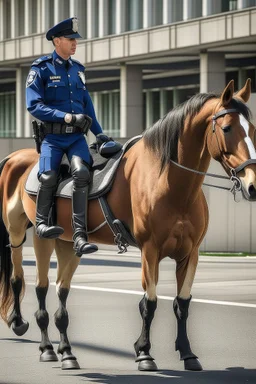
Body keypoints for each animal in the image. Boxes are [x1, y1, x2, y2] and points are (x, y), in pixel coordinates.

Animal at [0, 79, 256, 372]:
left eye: (252, 129)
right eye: (226, 128)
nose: (252, 185)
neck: (169, 181)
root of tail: (16, 157)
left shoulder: (190, 254)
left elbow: (182, 304)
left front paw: (188, 353)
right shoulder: (150, 250)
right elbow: (150, 303)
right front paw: (144, 353)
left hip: (67, 243)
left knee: (60, 292)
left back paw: (67, 352)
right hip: (30, 235)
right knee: (29, 282)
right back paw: (40, 343)